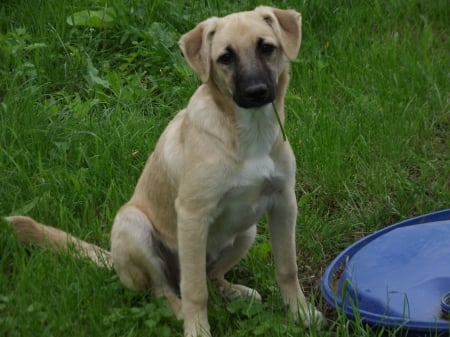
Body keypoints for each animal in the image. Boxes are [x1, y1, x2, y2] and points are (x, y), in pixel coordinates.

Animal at [6, 5, 324, 336]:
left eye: (266, 47)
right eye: (225, 57)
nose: (256, 92)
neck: (249, 133)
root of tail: (113, 260)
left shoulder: (284, 202)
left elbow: (287, 267)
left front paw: (300, 312)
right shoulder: (193, 215)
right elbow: (195, 290)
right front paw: (197, 329)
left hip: (246, 232)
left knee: (209, 276)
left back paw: (234, 291)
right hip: (134, 226)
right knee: (164, 289)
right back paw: (181, 311)